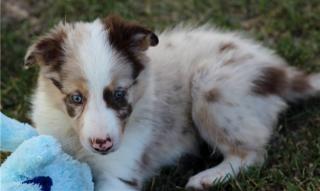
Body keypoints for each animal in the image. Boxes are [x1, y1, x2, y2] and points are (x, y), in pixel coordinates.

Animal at [25, 15, 320, 190]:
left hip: (211, 87)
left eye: (119, 94)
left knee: (252, 153)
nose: (102, 144)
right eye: (76, 98)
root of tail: (276, 70)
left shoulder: (120, 172)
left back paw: (208, 177)